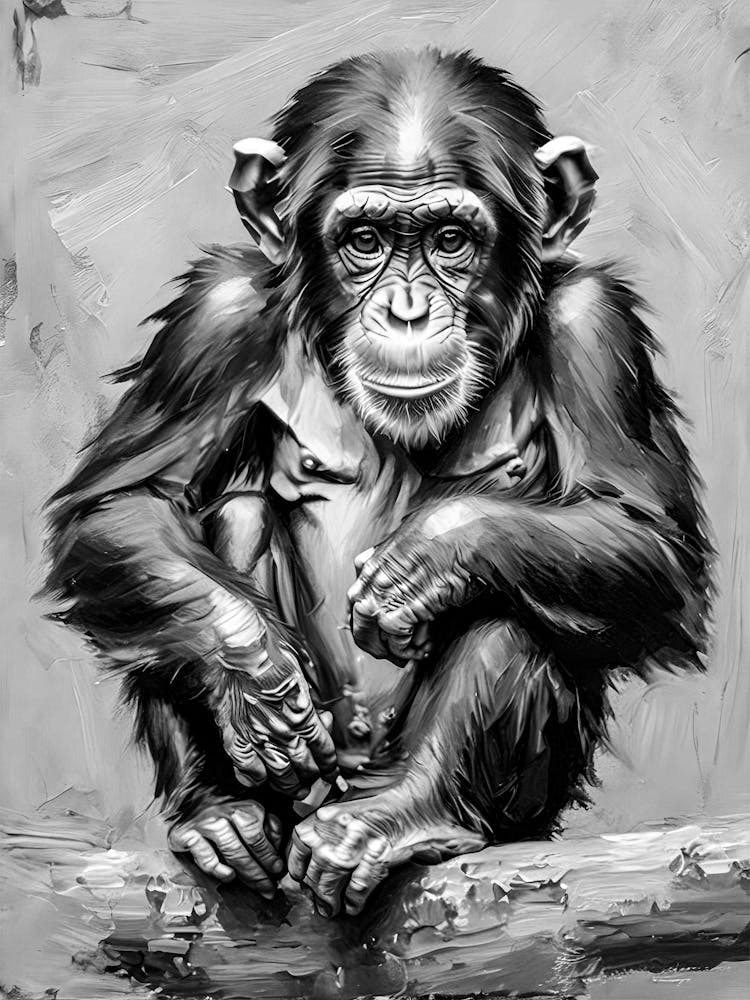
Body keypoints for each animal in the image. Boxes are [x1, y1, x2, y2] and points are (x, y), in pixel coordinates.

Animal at [45, 48, 710, 918]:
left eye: (451, 238)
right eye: (364, 239)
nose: (406, 310)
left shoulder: (595, 325)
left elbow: (648, 540)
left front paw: (424, 561)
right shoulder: (215, 317)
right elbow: (122, 502)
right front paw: (254, 674)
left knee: (522, 589)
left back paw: (404, 812)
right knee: (220, 519)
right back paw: (221, 815)